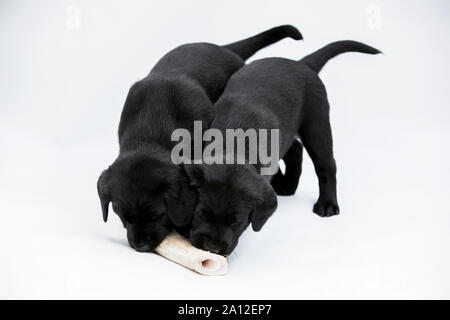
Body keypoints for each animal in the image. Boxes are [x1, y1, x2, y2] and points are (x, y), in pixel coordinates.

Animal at [185, 40, 380, 255]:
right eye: (201, 214)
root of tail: (301, 63)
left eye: (236, 222)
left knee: (326, 166)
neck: (233, 146)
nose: (211, 248)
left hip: (317, 124)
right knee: (296, 148)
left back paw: (327, 204)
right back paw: (288, 186)